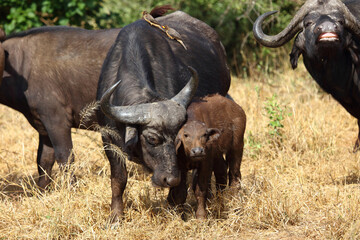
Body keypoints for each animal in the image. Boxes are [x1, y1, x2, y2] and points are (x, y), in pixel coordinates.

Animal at [0, 25, 121, 188]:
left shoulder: (57, 120)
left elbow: (65, 157)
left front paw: (72, 187)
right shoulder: (42, 125)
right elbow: (43, 160)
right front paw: (42, 190)